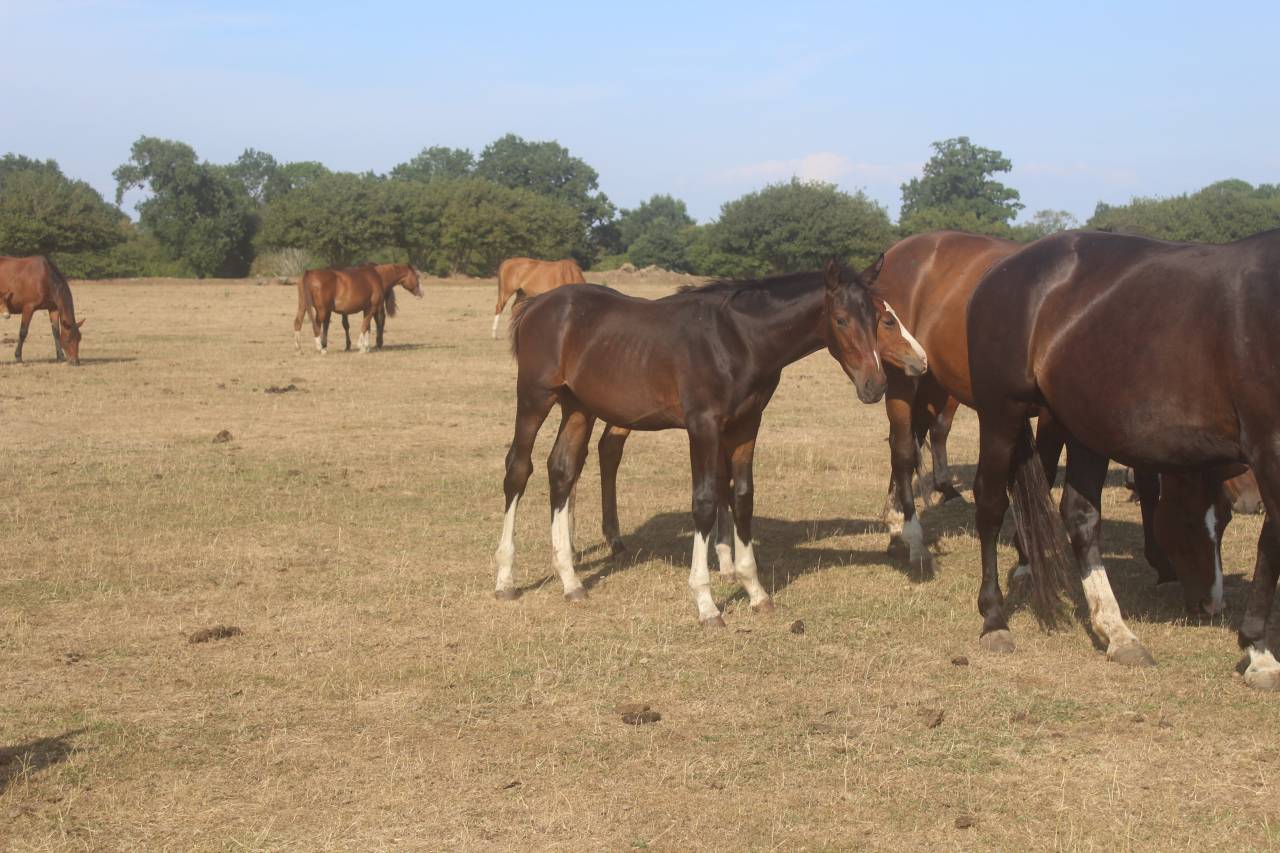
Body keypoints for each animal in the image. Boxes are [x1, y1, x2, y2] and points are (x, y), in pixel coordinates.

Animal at [294, 263, 422, 354]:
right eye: (416, 277)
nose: (421, 293)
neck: (378, 277)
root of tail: (310, 273)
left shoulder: (367, 309)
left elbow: (367, 327)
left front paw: (365, 347)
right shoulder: (372, 307)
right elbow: (365, 326)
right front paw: (361, 347)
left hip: (303, 306)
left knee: (298, 322)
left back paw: (299, 348)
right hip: (322, 310)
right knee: (316, 325)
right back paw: (320, 348)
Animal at [494, 259, 928, 625]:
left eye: (876, 319)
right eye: (841, 319)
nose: (875, 386)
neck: (737, 340)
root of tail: (537, 304)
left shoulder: (746, 426)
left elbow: (742, 498)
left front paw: (755, 591)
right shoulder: (702, 426)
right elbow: (704, 502)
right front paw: (706, 603)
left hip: (579, 408)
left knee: (562, 471)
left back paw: (571, 581)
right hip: (535, 398)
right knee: (518, 470)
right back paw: (505, 579)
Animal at [966, 228, 1280, 689]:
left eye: (1223, 521)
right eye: (1188, 523)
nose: (1209, 606)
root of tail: (998, 271)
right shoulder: (1269, 447)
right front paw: (1258, 650)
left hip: (1084, 428)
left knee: (1080, 516)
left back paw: (1117, 632)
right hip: (1001, 413)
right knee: (990, 506)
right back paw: (994, 619)